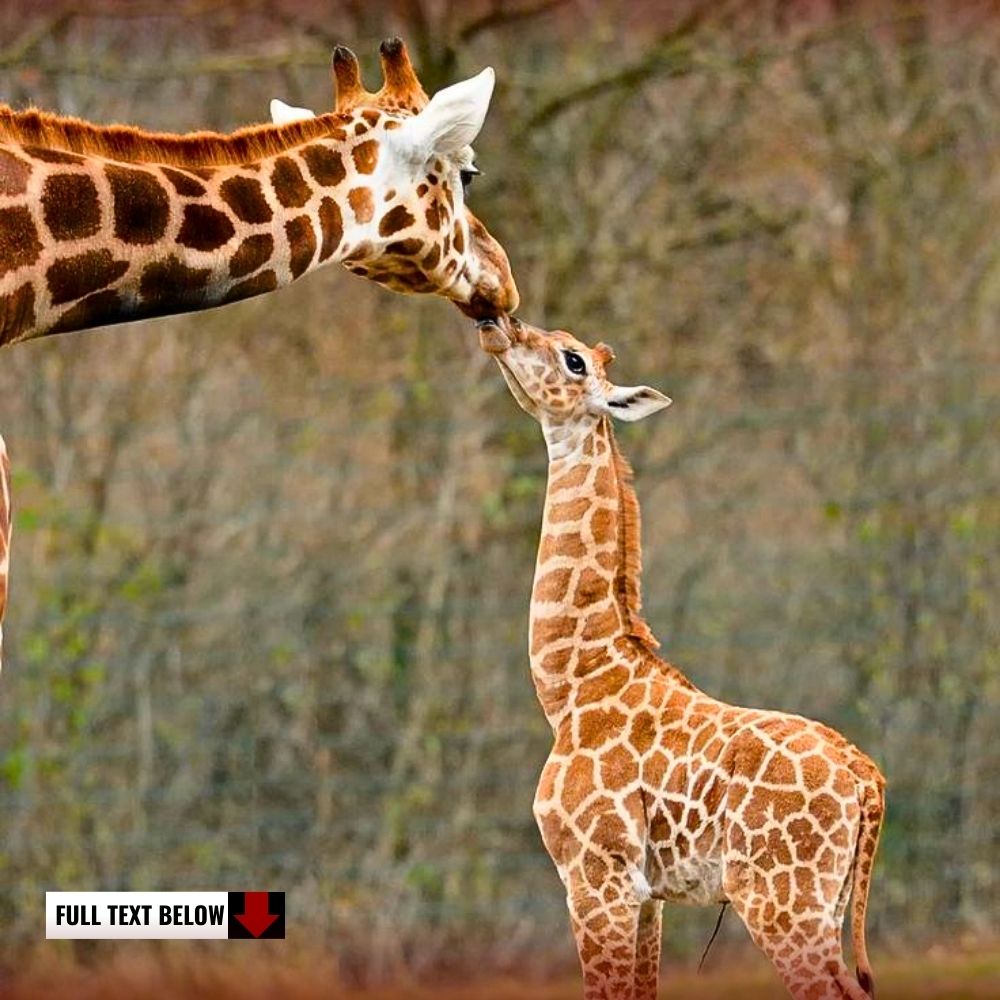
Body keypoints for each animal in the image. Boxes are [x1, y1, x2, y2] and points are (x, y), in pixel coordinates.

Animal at [480, 318, 888, 1000]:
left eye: (572, 360)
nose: (498, 325)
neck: (572, 683)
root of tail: (866, 780)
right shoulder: (649, 897)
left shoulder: (596, 875)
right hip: (826, 903)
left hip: (782, 900)